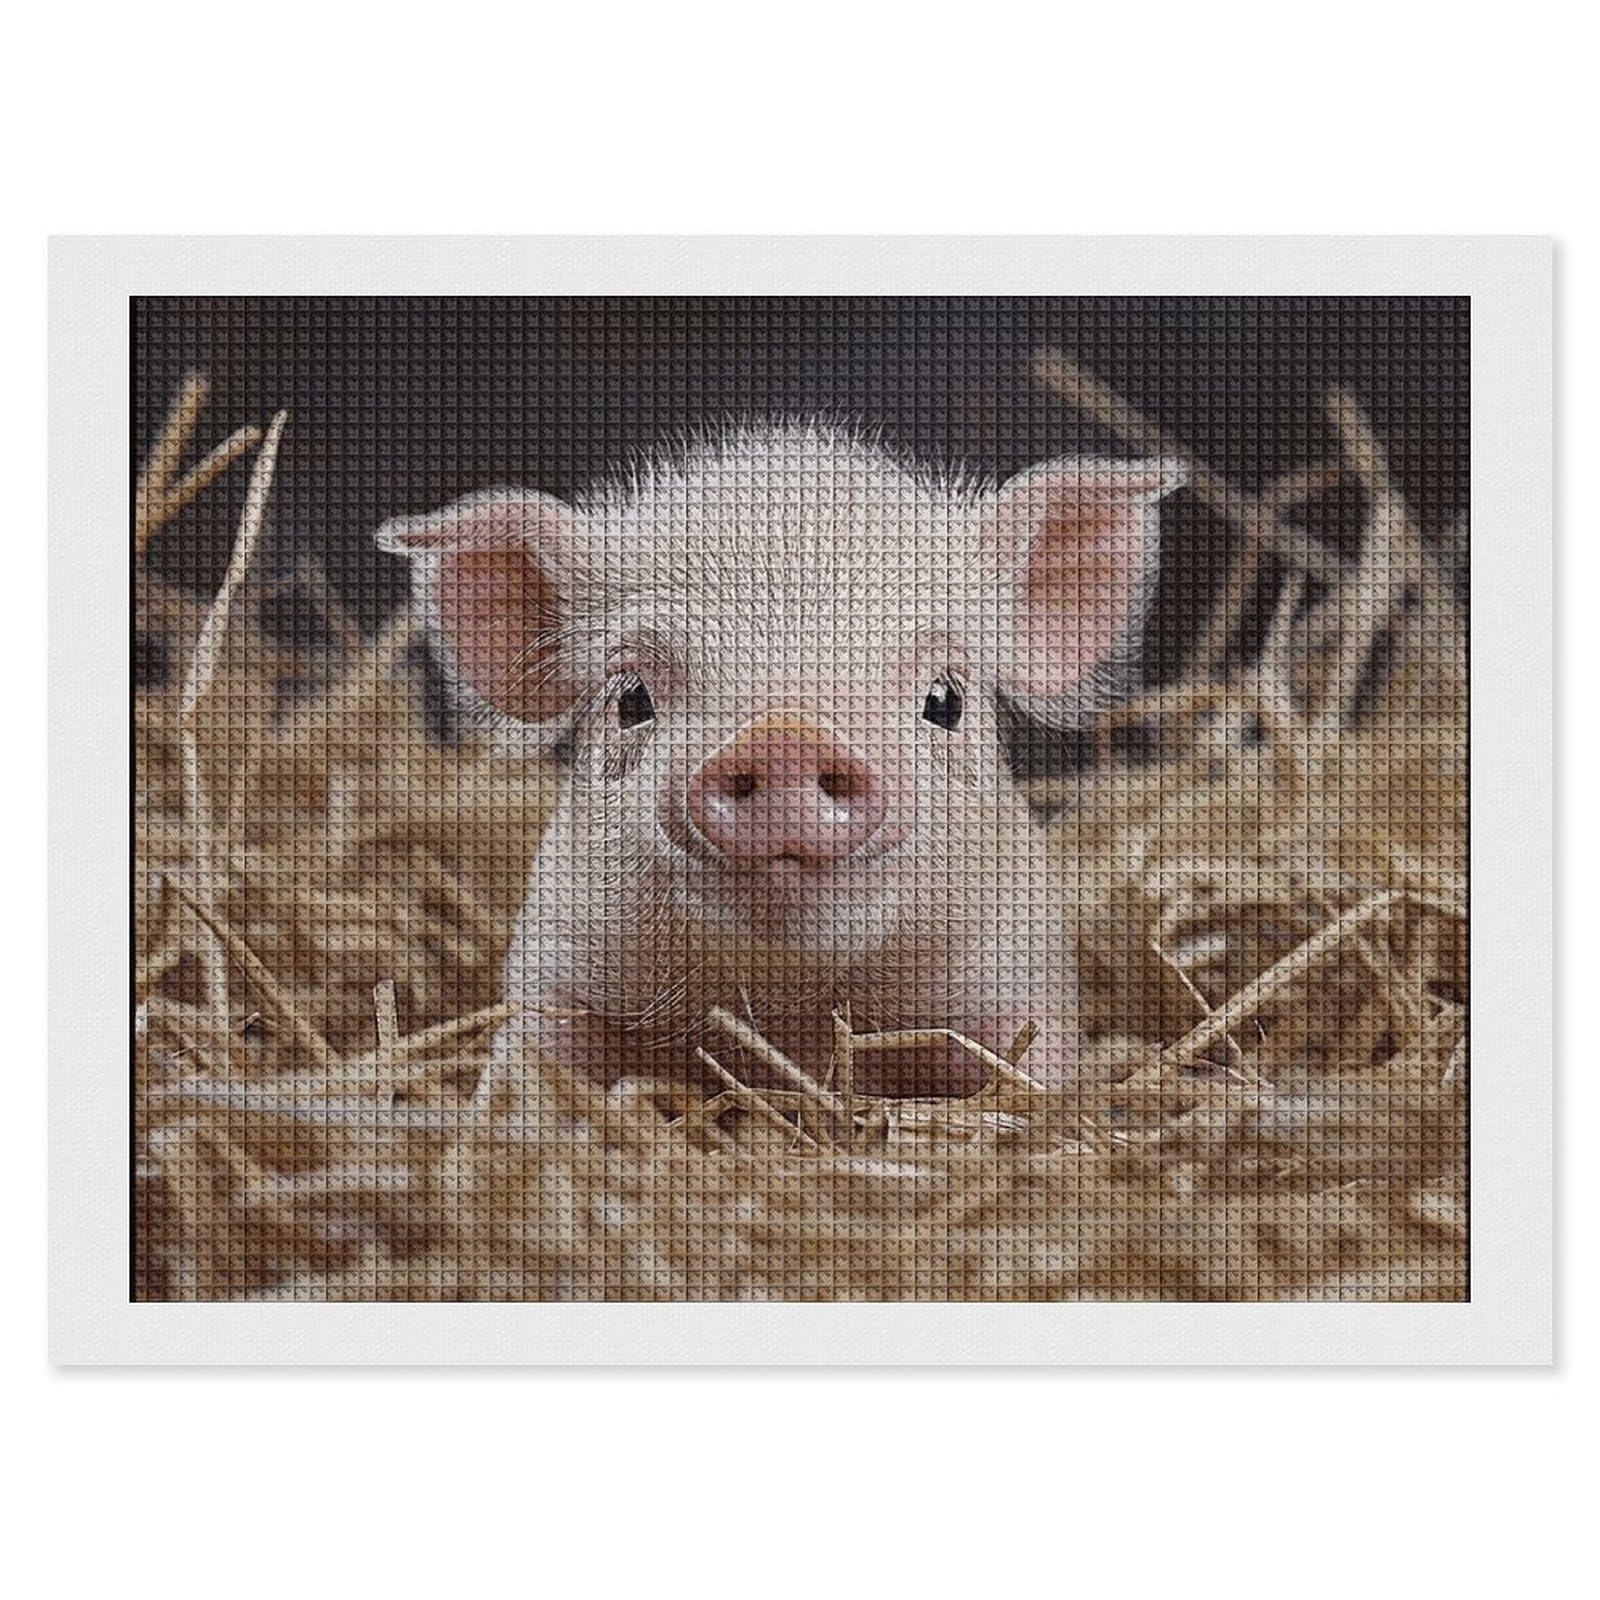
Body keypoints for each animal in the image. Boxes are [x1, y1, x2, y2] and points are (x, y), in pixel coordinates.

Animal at [378, 423, 1183, 1097]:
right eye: (631, 697)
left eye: (945, 698)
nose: (785, 735)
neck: (790, 1014)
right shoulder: (556, 967)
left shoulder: (1019, 976)